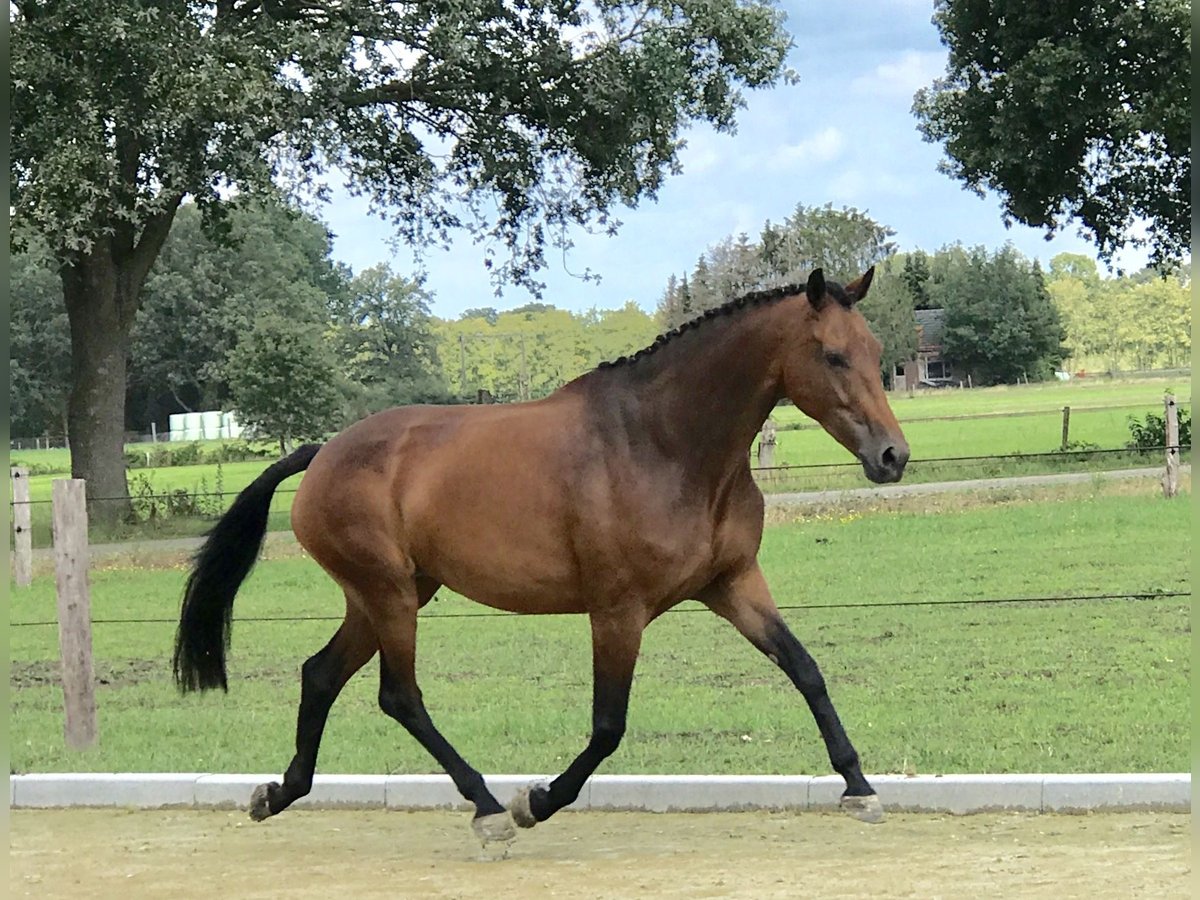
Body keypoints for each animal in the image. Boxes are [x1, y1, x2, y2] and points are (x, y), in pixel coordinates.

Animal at [173, 267, 910, 845]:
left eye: (876, 350)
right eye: (833, 355)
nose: (892, 457)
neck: (665, 445)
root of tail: (322, 452)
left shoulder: (733, 585)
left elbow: (806, 670)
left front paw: (860, 787)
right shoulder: (617, 610)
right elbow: (609, 726)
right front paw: (538, 802)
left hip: (389, 595)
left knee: (321, 675)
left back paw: (278, 794)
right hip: (391, 596)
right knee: (399, 695)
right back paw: (489, 809)